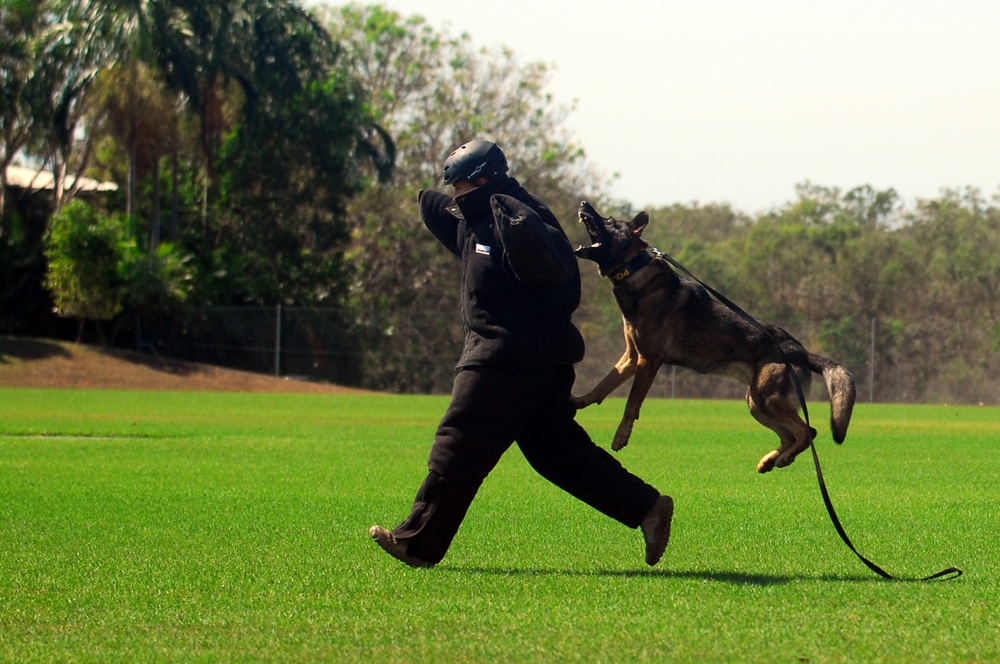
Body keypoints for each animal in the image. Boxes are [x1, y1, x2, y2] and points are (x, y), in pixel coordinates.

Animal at [576, 201, 856, 472]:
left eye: (609, 220)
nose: (583, 203)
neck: (634, 270)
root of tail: (801, 350)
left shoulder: (648, 360)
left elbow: (631, 403)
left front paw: (621, 435)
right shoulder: (632, 357)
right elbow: (603, 385)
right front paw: (578, 400)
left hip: (768, 398)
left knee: (808, 431)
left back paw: (784, 458)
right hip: (756, 402)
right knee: (790, 435)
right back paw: (770, 460)